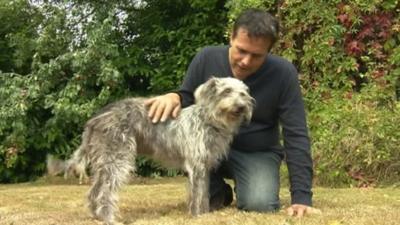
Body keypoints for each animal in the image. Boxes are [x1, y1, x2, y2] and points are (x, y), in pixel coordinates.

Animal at [65, 76, 253, 224]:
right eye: (227, 91)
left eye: (243, 94)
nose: (241, 106)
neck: (209, 120)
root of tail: (95, 119)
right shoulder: (197, 167)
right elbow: (198, 195)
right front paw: (197, 216)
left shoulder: (203, 168)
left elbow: (203, 194)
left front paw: (204, 213)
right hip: (117, 160)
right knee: (104, 192)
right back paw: (109, 218)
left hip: (104, 162)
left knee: (94, 191)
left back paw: (96, 216)